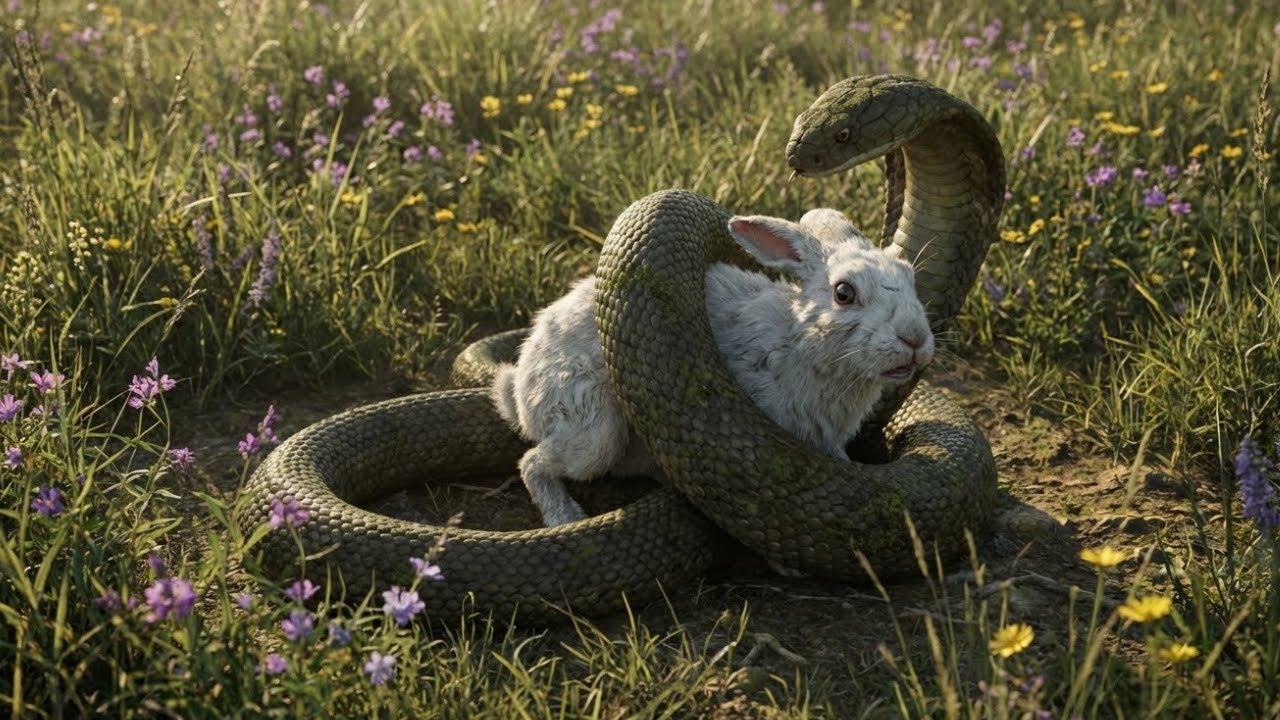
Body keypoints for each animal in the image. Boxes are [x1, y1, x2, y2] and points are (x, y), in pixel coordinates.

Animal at [491, 208, 935, 527]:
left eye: (910, 278)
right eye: (844, 293)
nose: (915, 339)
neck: (801, 340)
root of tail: (521, 391)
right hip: (594, 429)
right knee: (533, 462)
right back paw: (565, 516)